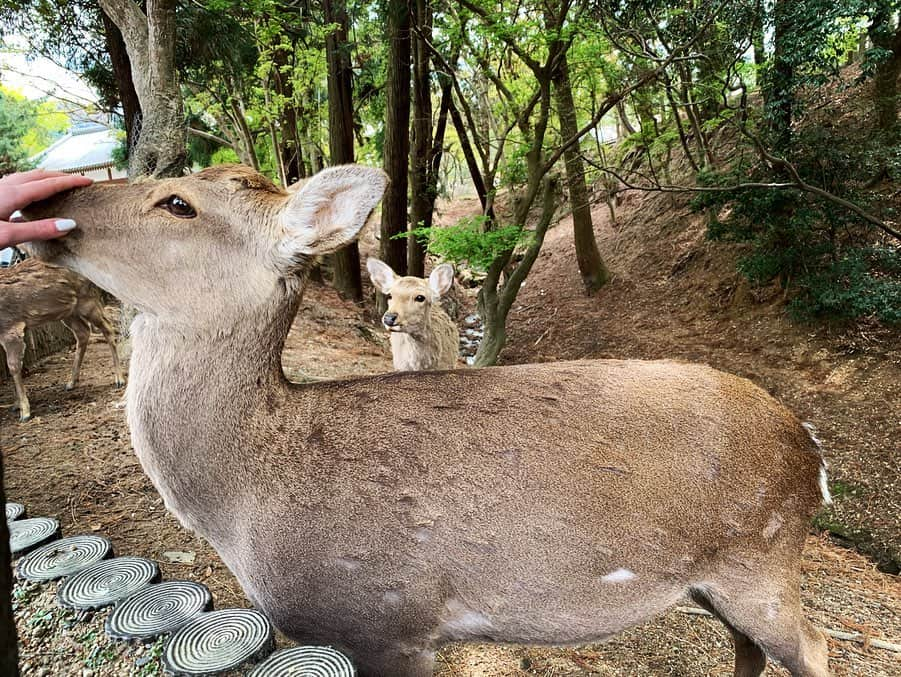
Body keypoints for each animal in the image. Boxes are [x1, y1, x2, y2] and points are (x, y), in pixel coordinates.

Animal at [0, 256, 125, 420]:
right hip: (68, 311)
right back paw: (71, 382)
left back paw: (119, 379)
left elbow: (13, 366)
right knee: (83, 332)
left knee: (107, 327)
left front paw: (24, 411)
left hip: (87, 299)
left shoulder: (11, 327)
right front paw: (16, 405)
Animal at [26, 165, 828, 676]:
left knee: (814, 646)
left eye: (177, 203)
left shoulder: (388, 619)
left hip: (758, 558)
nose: (52, 197)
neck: (244, 504)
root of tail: (813, 454)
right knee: (751, 650)